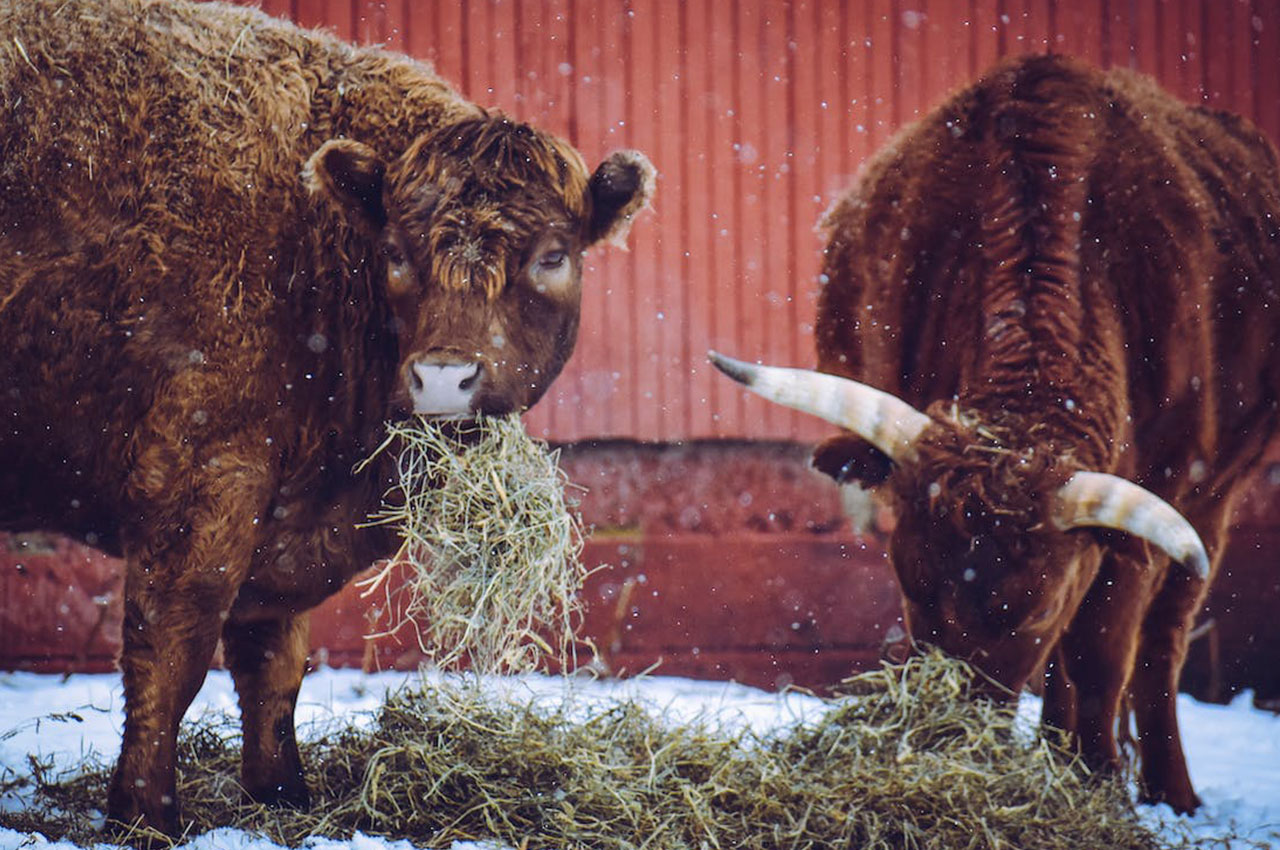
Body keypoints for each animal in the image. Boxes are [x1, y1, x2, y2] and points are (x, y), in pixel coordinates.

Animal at [0, 0, 655, 834]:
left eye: (552, 255)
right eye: (397, 252)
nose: (445, 377)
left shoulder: (277, 519)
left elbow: (274, 665)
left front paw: (282, 794)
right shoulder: (199, 485)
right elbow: (172, 653)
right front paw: (146, 816)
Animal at [711, 54, 1280, 819]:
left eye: (1031, 613)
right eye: (911, 585)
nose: (948, 739)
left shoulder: (1150, 512)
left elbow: (1102, 652)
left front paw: (1099, 785)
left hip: (1215, 499)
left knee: (1162, 639)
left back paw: (1171, 791)